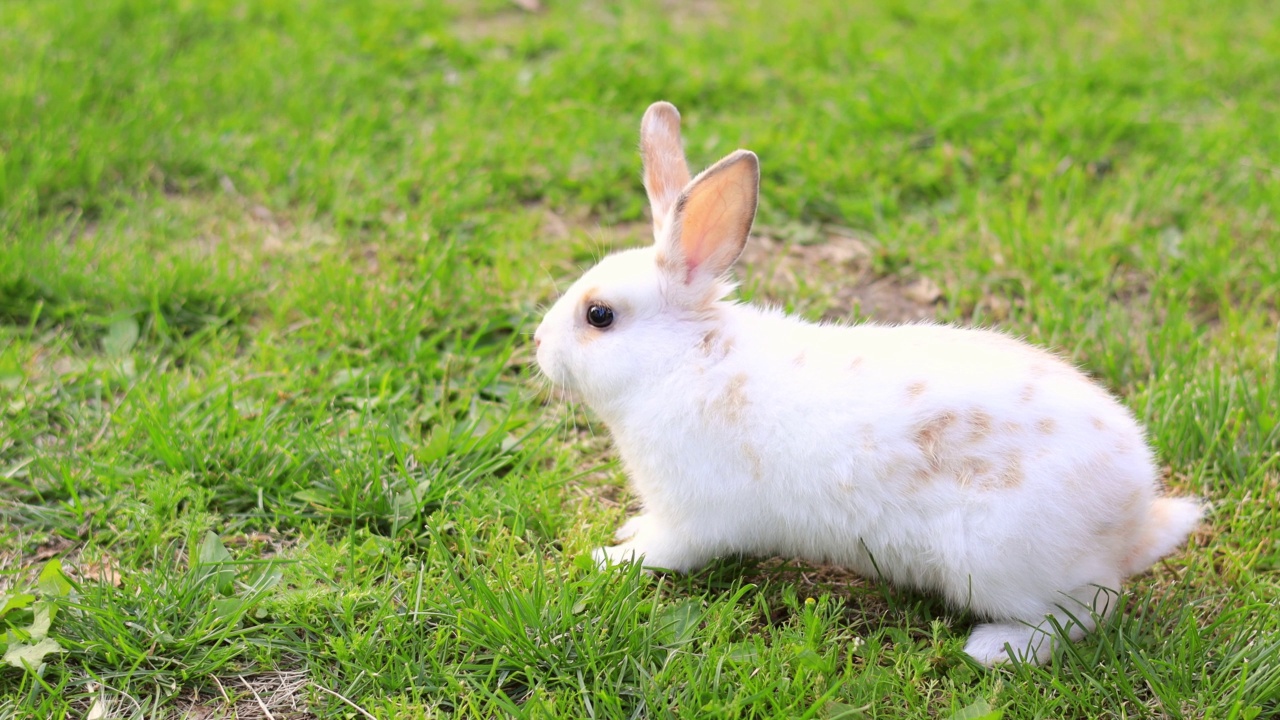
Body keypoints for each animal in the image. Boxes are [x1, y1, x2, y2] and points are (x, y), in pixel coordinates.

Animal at [529, 102, 1198, 666]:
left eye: (599, 316)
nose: (537, 342)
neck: (683, 360)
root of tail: (1135, 517)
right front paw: (623, 532)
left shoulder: (691, 519)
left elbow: (664, 554)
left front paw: (608, 556)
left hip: (1002, 565)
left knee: (1089, 608)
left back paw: (995, 648)